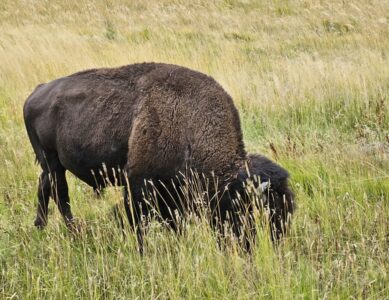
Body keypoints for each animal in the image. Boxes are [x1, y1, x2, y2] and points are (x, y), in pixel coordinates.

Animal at [22, 62, 292, 250]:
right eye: (252, 211)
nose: (271, 246)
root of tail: (37, 91)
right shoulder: (139, 185)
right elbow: (140, 222)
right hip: (53, 162)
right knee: (60, 195)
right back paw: (74, 232)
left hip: (51, 165)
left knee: (44, 187)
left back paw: (41, 226)